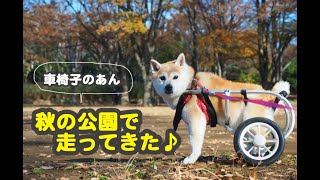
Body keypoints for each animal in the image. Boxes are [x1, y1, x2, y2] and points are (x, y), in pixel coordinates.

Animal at [151, 52, 290, 165]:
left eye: (175, 77)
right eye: (162, 78)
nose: (168, 87)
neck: (189, 87)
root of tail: (270, 95)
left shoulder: (196, 121)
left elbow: (195, 144)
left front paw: (191, 159)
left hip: (253, 123)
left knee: (263, 140)